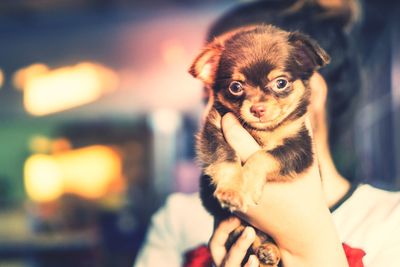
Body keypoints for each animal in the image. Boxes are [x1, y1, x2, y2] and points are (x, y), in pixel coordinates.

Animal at [189, 25, 330, 267]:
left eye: (281, 83)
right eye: (235, 87)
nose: (257, 109)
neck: (263, 132)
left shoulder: (300, 147)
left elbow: (264, 156)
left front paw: (247, 184)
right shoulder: (213, 131)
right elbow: (225, 157)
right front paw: (232, 190)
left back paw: (270, 253)